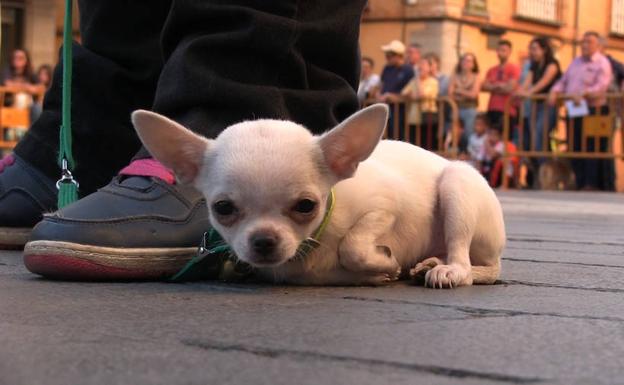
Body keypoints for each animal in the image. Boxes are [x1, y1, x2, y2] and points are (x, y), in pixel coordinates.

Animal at [132, 103, 508, 286]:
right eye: (223, 208)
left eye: (306, 206)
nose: (264, 240)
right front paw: (379, 273)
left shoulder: (388, 206)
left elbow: (352, 246)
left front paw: (383, 261)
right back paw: (430, 262)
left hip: (457, 188)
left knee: (473, 262)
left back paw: (449, 270)